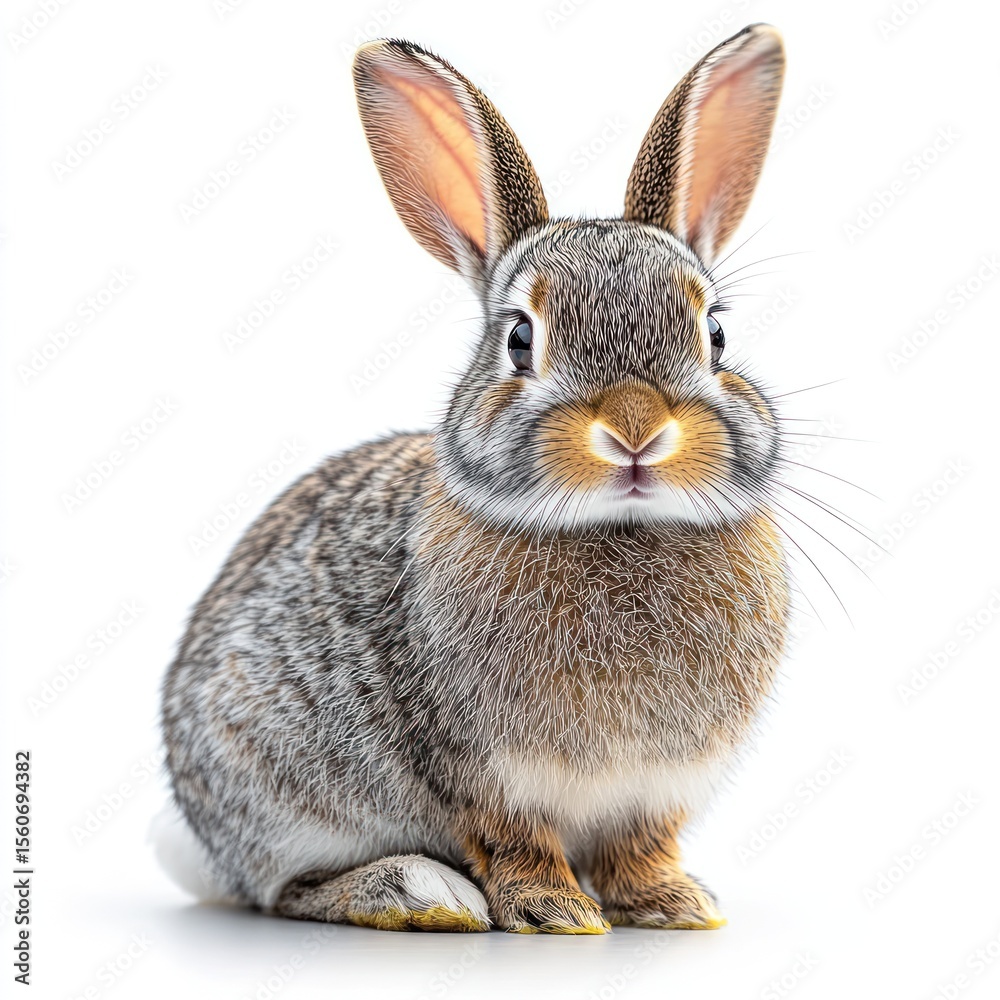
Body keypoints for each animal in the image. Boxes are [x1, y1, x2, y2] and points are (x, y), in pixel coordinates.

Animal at [158, 23, 789, 934]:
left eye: (716, 335)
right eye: (520, 339)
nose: (636, 430)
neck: (616, 528)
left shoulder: (656, 792)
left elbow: (642, 849)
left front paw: (675, 905)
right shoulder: (480, 772)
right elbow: (514, 843)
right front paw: (557, 914)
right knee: (286, 891)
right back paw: (422, 892)